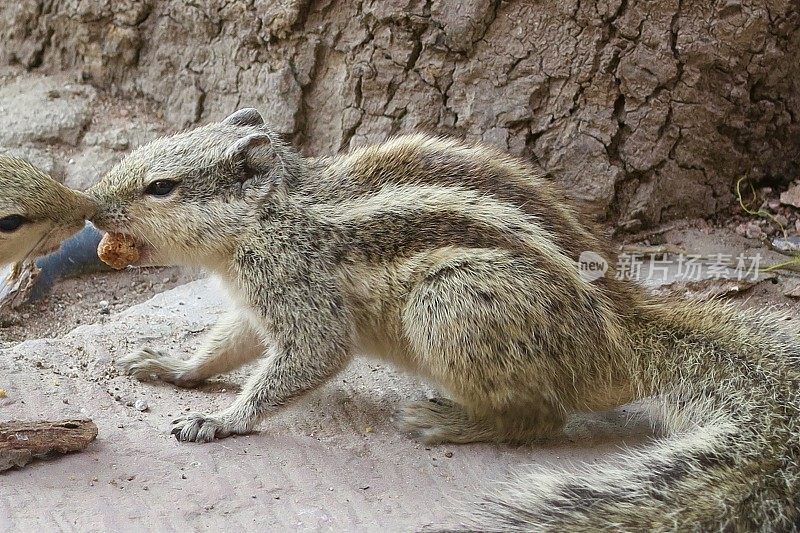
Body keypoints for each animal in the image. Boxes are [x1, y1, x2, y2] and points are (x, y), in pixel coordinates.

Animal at [89, 107, 800, 528]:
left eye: (161, 187)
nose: (89, 206)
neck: (275, 213)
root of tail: (626, 334)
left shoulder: (295, 288)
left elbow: (312, 354)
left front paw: (221, 420)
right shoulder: (251, 304)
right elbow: (223, 345)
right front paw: (169, 368)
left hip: (449, 304)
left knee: (542, 420)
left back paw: (450, 421)